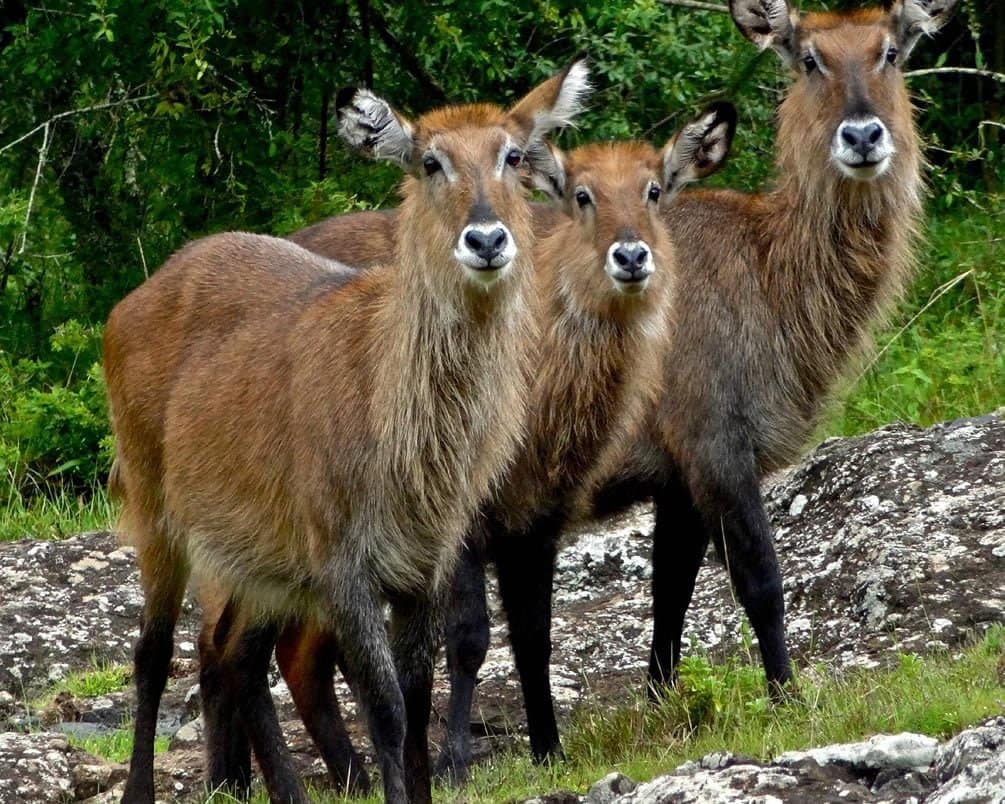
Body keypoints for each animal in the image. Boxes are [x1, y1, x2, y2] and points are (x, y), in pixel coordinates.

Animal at [104, 58, 586, 804]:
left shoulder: (425, 563)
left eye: (512, 155)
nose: (485, 239)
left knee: (235, 654)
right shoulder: (343, 566)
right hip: (157, 510)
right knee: (153, 652)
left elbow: (416, 702)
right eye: (429, 161)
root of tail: (132, 300)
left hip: (261, 555)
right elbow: (385, 708)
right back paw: (140, 790)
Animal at [586, 0, 960, 711]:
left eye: (889, 51)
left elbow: (669, 594)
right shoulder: (715, 442)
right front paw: (788, 699)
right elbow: (761, 582)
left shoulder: (677, 473)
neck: (766, 270)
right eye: (810, 57)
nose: (862, 135)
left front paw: (662, 707)